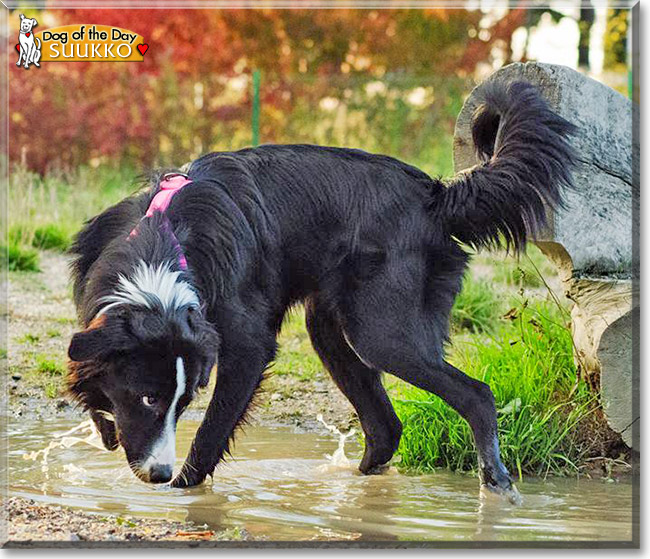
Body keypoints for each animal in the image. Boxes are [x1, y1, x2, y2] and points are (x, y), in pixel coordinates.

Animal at [66, 81, 572, 496]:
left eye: (183, 401)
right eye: (148, 398)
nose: (159, 474)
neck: (164, 242)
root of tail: (435, 195)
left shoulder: (247, 345)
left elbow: (213, 428)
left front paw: (184, 489)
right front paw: (105, 425)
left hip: (379, 332)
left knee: (476, 396)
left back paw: (495, 484)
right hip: (331, 331)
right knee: (385, 428)